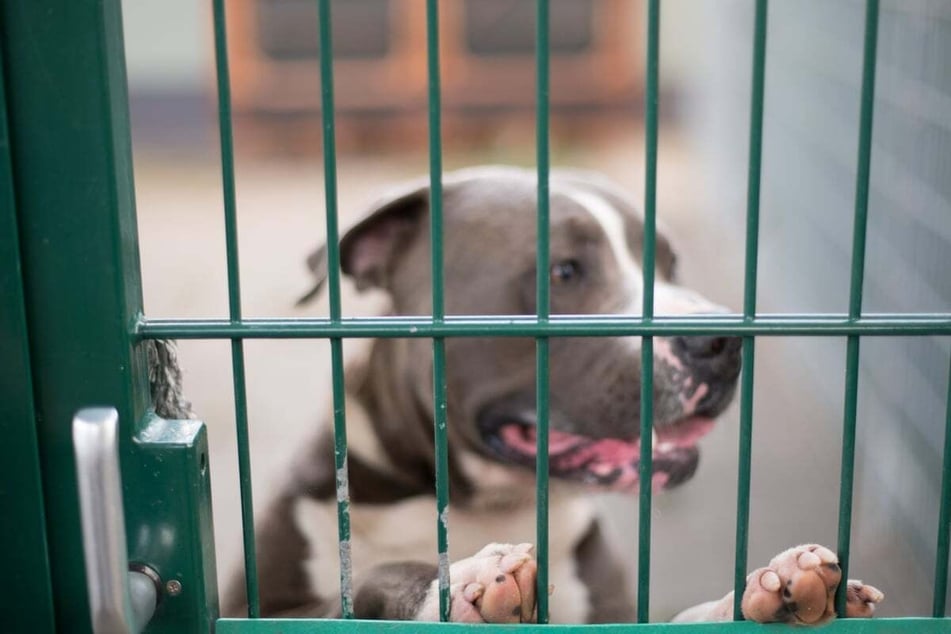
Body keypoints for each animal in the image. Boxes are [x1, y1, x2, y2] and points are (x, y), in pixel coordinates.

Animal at [206, 164, 876, 624]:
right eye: (565, 272)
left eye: (670, 264)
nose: (722, 341)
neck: (476, 501)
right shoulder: (268, 608)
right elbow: (374, 577)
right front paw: (460, 582)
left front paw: (772, 592)